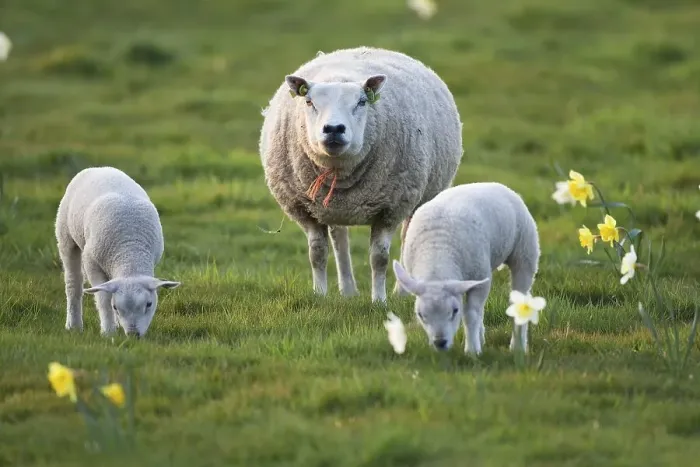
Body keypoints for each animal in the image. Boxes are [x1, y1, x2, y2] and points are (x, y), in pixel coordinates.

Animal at [55, 166, 180, 338]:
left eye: (149, 304)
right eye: (115, 307)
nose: (133, 335)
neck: (129, 253)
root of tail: (99, 168)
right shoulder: (91, 262)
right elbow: (103, 299)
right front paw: (108, 332)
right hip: (66, 236)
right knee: (73, 282)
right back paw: (74, 325)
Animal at [259, 46, 463, 302]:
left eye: (362, 102)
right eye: (309, 101)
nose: (334, 129)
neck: (340, 169)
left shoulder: (390, 209)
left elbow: (379, 258)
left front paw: (379, 300)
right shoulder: (305, 210)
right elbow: (317, 253)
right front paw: (319, 295)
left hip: (418, 198)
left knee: (407, 238)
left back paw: (401, 292)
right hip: (332, 207)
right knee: (340, 240)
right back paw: (348, 291)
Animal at [391, 182, 541, 355]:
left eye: (455, 311)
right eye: (420, 314)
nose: (440, 342)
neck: (437, 252)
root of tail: (493, 184)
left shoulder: (480, 278)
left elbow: (470, 314)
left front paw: (472, 351)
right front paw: (476, 343)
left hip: (524, 253)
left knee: (519, 299)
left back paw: (517, 347)